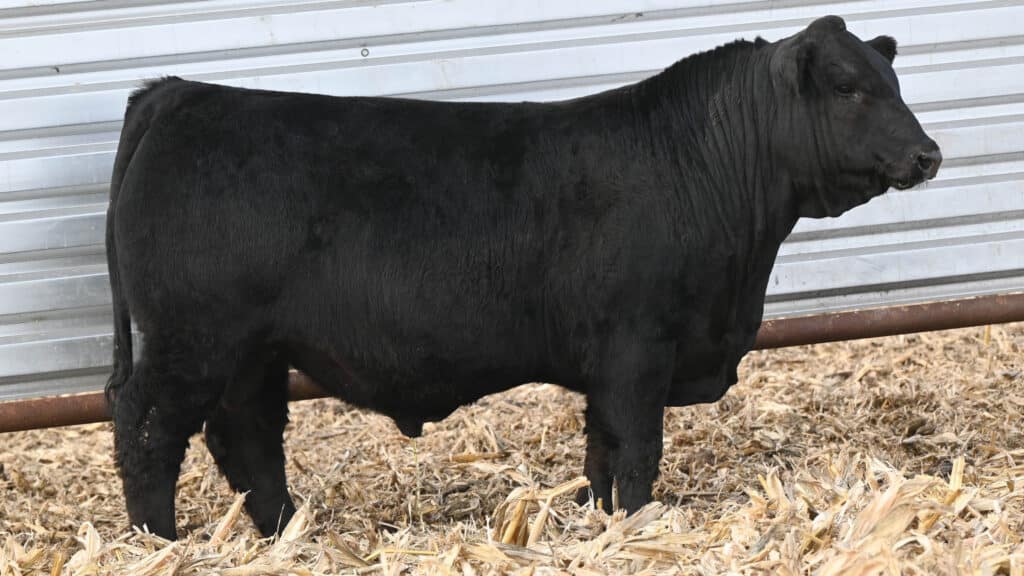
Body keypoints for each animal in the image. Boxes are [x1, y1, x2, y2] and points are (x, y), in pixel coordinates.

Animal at [105, 15, 941, 540]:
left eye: (895, 81)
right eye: (847, 86)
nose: (927, 153)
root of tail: (181, 92)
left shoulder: (610, 362)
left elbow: (601, 453)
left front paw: (601, 523)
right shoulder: (638, 347)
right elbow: (636, 450)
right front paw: (635, 526)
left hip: (252, 351)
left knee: (246, 438)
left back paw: (287, 532)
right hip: (193, 340)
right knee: (148, 428)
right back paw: (159, 543)